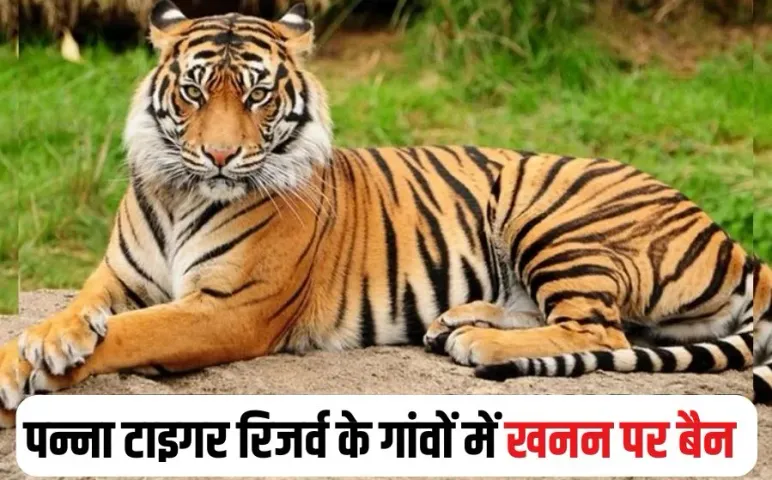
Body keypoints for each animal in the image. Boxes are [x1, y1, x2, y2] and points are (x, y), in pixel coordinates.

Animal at [0, 0, 766, 427]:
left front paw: (51, 364)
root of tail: (734, 243)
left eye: (256, 96)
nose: (218, 156)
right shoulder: (118, 275)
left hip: (553, 214)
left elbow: (134, 332)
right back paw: (459, 320)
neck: (182, 189)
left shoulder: (230, 307)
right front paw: (35, 346)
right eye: (193, 92)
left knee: (597, 328)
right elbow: (75, 310)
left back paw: (477, 342)